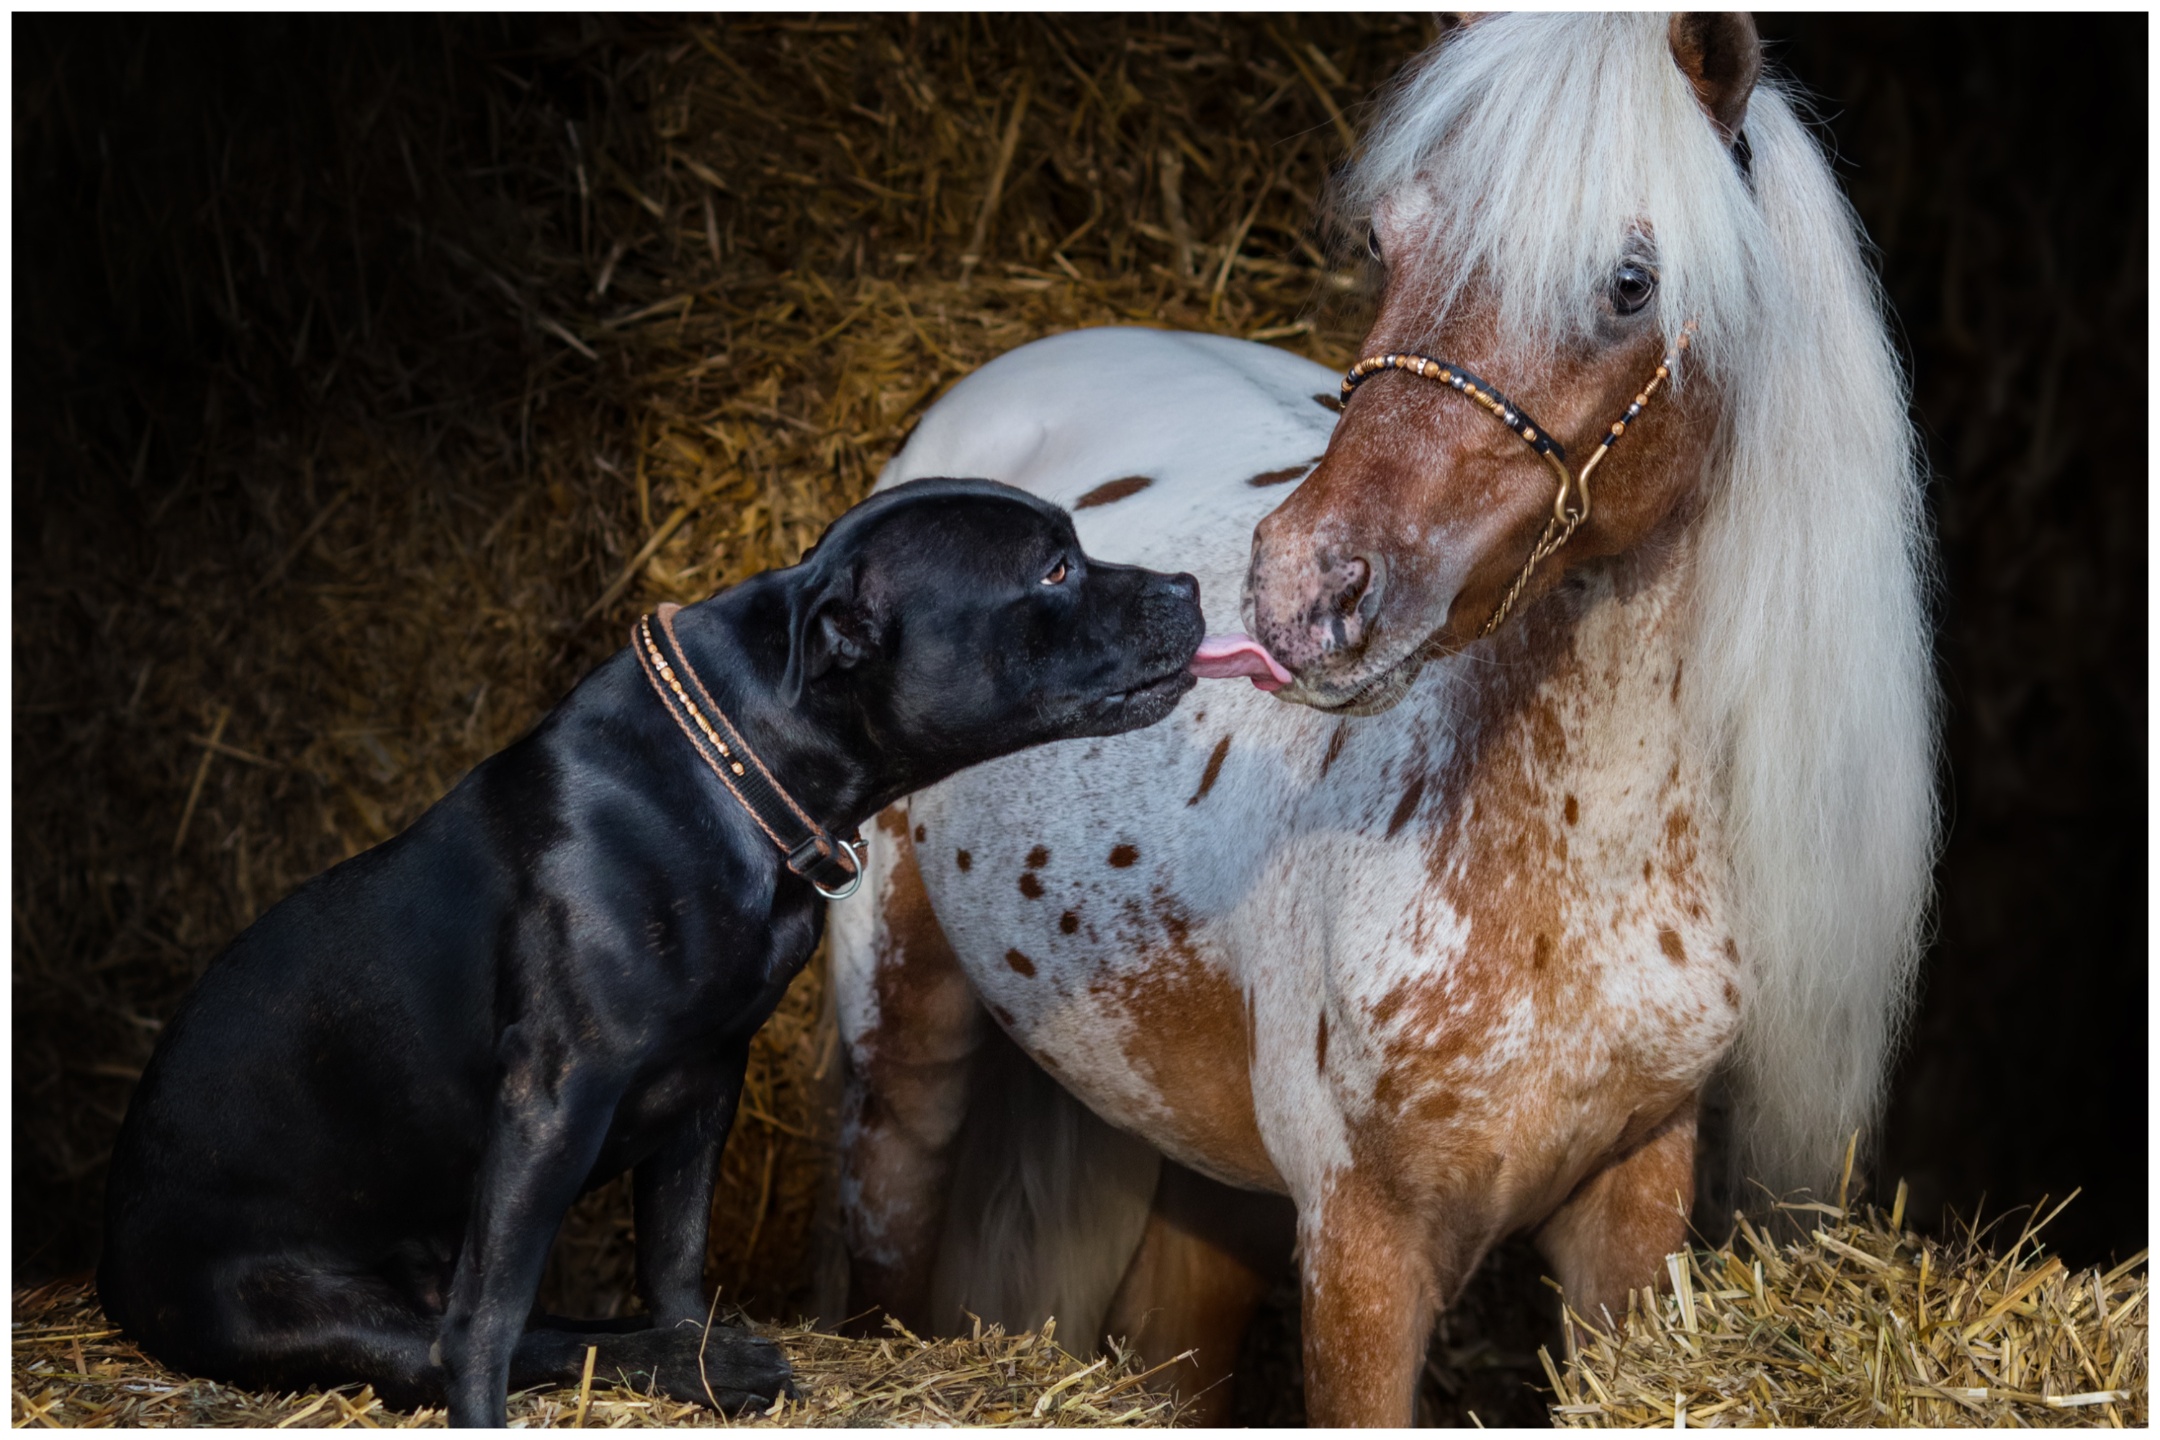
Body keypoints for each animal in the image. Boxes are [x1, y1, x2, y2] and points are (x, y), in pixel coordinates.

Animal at [101, 479, 1209, 1424]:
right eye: (1054, 571)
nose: (1192, 585)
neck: (734, 765)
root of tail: (112, 1276)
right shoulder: (552, 1099)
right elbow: (488, 1320)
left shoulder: (705, 1084)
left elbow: (674, 1262)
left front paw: (698, 1355)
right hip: (300, 1305)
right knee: (451, 1336)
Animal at [829, 14, 1944, 1433]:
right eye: (1387, 240)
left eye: (1632, 283)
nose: (1306, 592)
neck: (1576, 846)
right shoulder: (1362, 1246)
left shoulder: (1630, 1210)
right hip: (898, 1042)